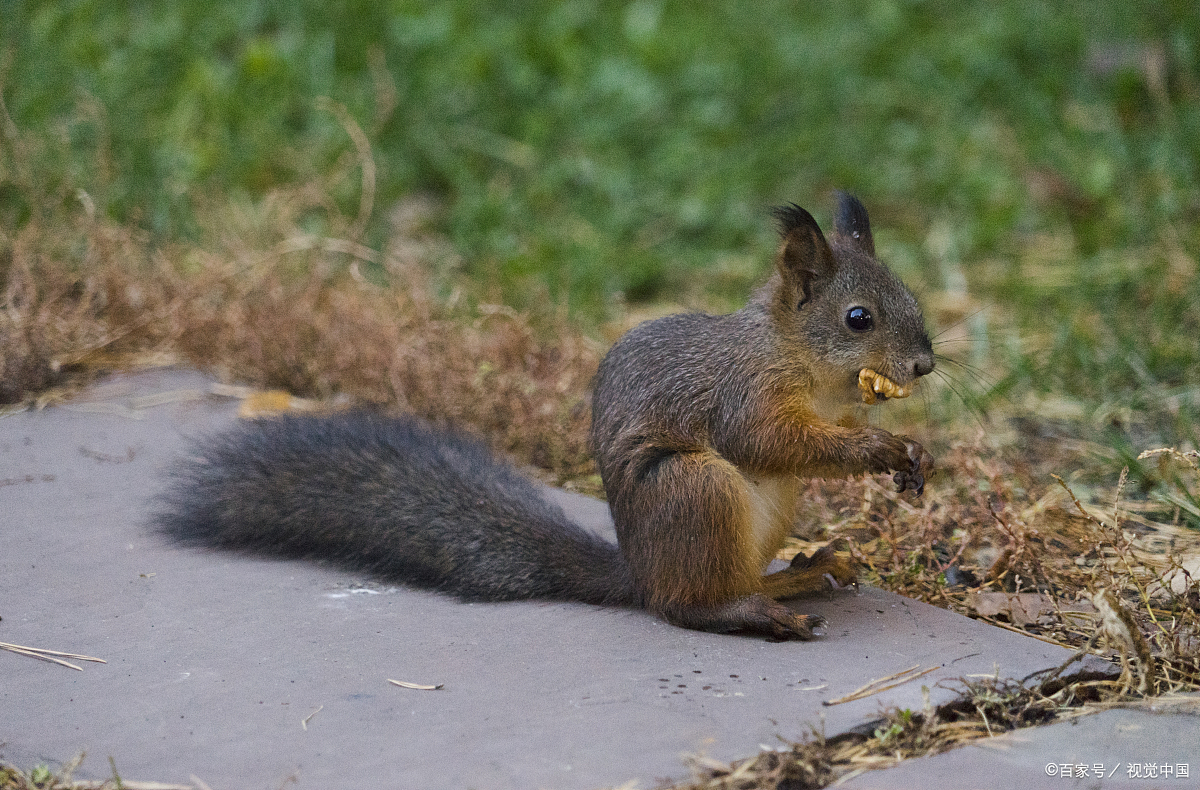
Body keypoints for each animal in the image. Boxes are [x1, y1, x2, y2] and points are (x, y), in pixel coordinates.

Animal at [154, 192, 931, 638]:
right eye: (858, 318)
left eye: (913, 296)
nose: (924, 366)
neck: (803, 363)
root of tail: (636, 570)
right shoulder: (746, 391)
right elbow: (768, 439)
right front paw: (876, 452)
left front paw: (913, 454)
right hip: (692, 490)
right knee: (685, 603)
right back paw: (754, 611)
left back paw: (794, 575)